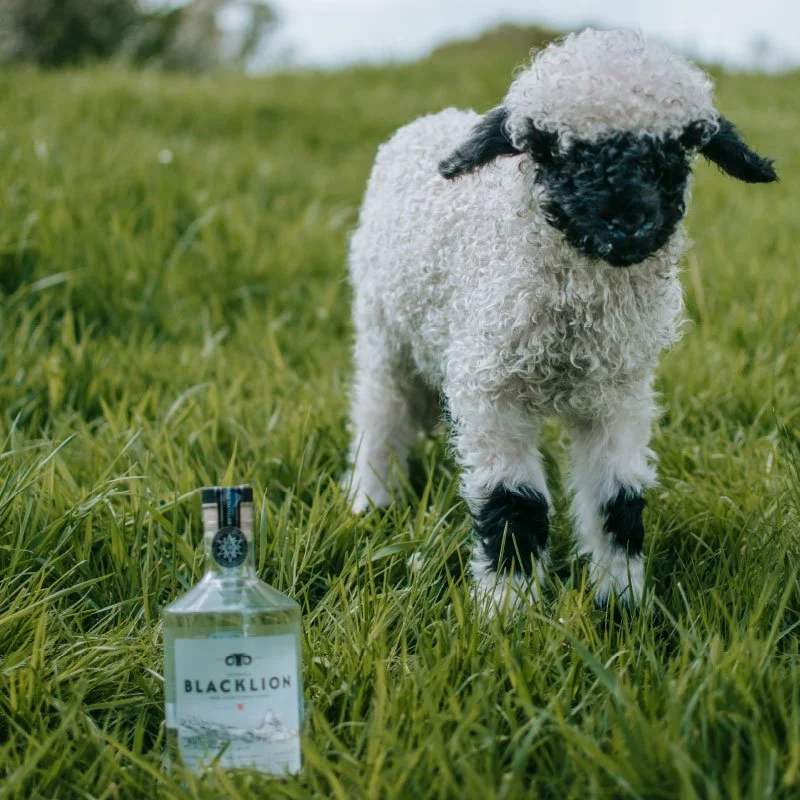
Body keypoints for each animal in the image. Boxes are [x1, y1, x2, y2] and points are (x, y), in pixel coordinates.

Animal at [345, 28, 777, 611]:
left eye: (677, 146)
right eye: (549, 147)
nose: (627, 222)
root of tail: (429, 120)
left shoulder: (619, 394)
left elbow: (618, 501)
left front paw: (621, 603)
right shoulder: (491, 388)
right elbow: (513, 505)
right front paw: (507, 610)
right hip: (382, 331)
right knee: (379, 414)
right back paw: (370, 500)